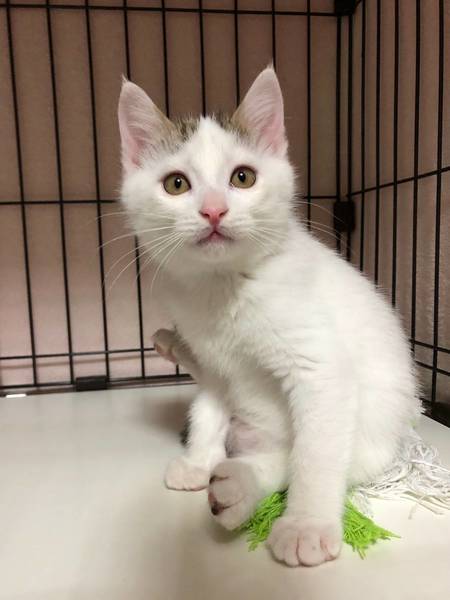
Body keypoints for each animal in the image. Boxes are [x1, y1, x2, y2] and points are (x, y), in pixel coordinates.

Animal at [118, 67, 421, 567]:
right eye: (176, 184)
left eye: (243, 177)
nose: (214, 210)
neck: (223, 288)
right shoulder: (216, 365)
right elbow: (208, 409)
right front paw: (199, 460)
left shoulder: (321, 368)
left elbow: (312, 457)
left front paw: (306, 526)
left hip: (373, 433)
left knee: (297, 457)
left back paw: (241, 487)